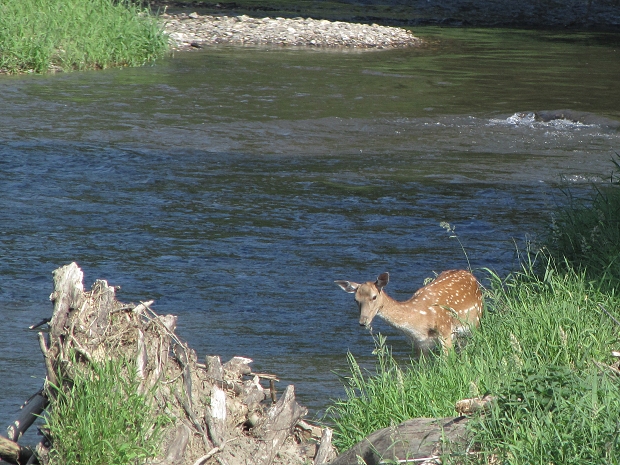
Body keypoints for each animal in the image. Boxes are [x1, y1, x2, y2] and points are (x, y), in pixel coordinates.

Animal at [334, 268, 484, 352]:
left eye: (374, 296)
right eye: (355, 299)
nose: (362, 322)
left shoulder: (446, 332)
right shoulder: (420, 344)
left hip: (475, 322)